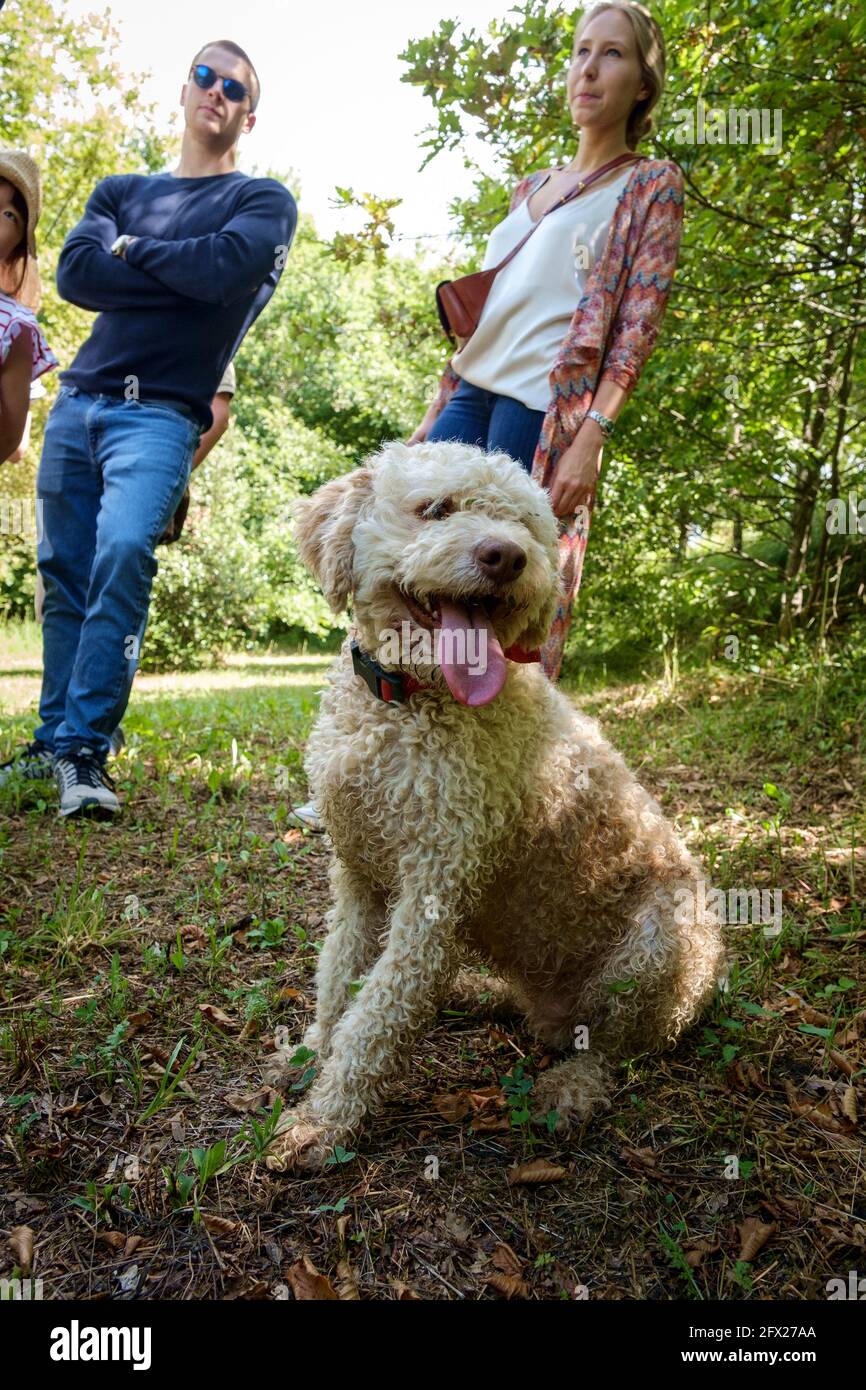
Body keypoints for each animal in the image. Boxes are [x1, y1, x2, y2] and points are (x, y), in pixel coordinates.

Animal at [264, 442, 722, 1173]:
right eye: (436, 509)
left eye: (526, 526)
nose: (506, 556)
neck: (406, 702)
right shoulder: (359, 877)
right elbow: (336, 980)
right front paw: (309, 1054)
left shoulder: (433, 895)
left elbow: (376, 1016)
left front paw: (324, 1119)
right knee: (539, 1014)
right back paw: (478, 992)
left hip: (660, 945)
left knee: (612, 1048)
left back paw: (571, 1087)